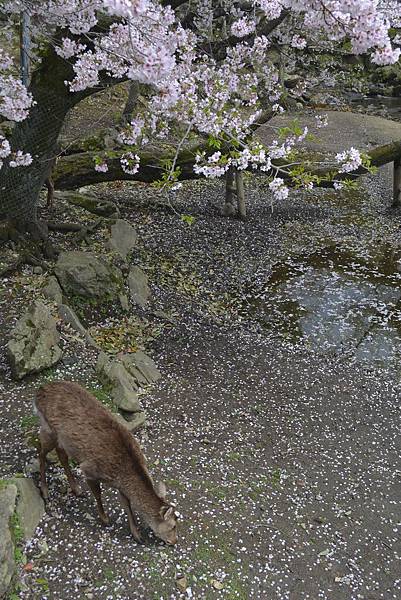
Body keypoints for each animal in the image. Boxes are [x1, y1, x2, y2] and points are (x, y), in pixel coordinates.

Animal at [33, 382, 177, 548]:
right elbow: (98, 494)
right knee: (41, 452)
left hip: (62, 439)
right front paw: (105, 519)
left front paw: (137, 535)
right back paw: (45, 491)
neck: (122, 473)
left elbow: (127, 505)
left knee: (61, 455)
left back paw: (77, 489)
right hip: (47, 428)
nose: (175, 541)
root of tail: (39, 391)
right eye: (173, 526)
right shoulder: (89, 470)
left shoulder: (121, 485)